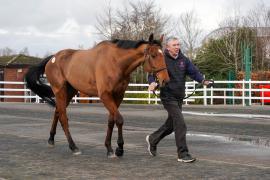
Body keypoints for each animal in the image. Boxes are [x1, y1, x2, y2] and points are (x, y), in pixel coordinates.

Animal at [25, 33, 169, 158]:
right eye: (153, 55)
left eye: (163, 55)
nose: (165, 80)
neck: (115, 62)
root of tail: (53, 58)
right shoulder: (105, 95)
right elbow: (119, 119)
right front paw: (119, 148)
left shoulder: (118, 95)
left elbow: (111, 121)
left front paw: (109, 148)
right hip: (60, 91)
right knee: (63, 117)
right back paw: (73, 147)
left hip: (70, 92)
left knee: (57, 112)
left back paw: (51, 139)